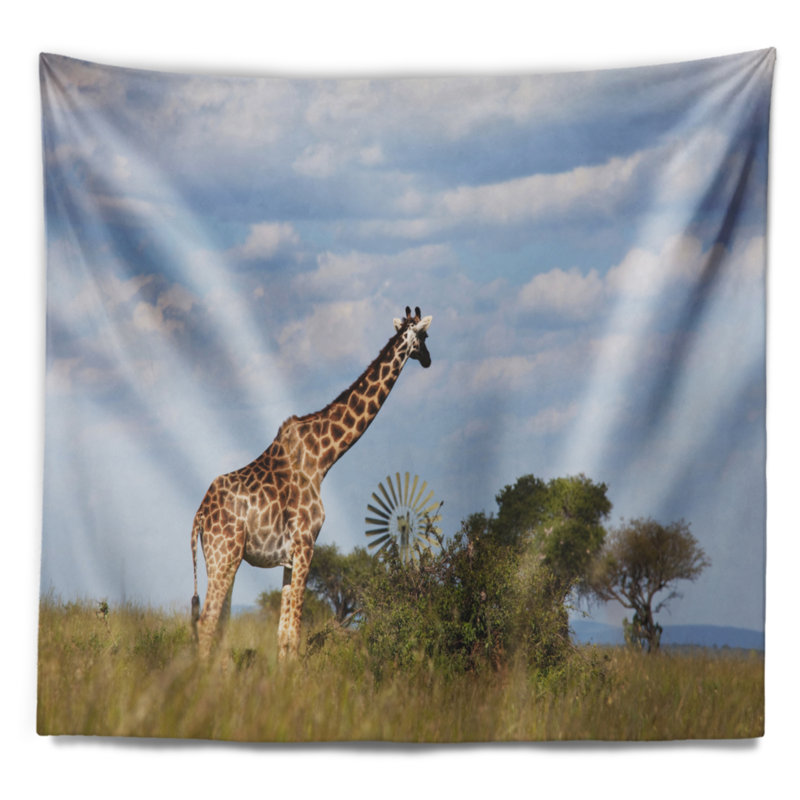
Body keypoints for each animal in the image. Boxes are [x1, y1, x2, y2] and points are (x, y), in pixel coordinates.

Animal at [191, 306, 433, 659]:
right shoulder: (306, 544)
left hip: (220, 560)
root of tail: (199, 517)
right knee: (207, 623)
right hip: (225, 557)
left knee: (218, 624)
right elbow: (295, 633)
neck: (322, 458)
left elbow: (282, 633)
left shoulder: (289, 557)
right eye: (424, 336)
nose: (428, 359)